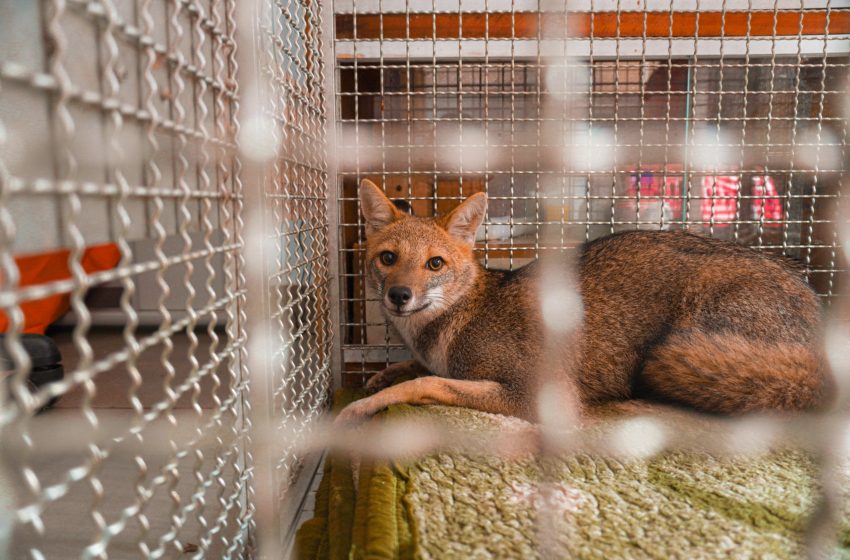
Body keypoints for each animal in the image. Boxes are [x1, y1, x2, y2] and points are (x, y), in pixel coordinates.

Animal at [335, 179, 829, 424]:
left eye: (434, 264)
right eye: (388, 258)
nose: (400, 295)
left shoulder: (540, 394)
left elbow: (430, 384)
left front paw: (362, 407)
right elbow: (417, 370)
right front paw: (383, 374)